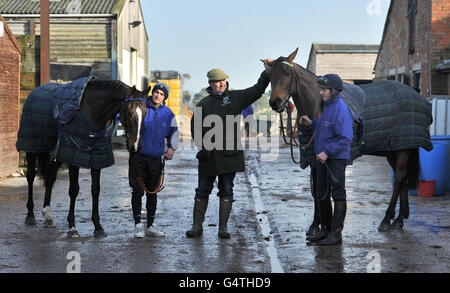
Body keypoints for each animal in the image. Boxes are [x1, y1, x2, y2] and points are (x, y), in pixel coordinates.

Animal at [264, 48, 432, 230]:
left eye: (287, 72)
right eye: (270, 75)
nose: (275, 102)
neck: (320, 105)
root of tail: (417, 94)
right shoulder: (314, 159)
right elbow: (316, 191)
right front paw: (315, 225)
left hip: (402, 148)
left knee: (400, 177)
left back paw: (387, 218)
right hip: (393, 149)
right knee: (403, 178)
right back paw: (400, 218)